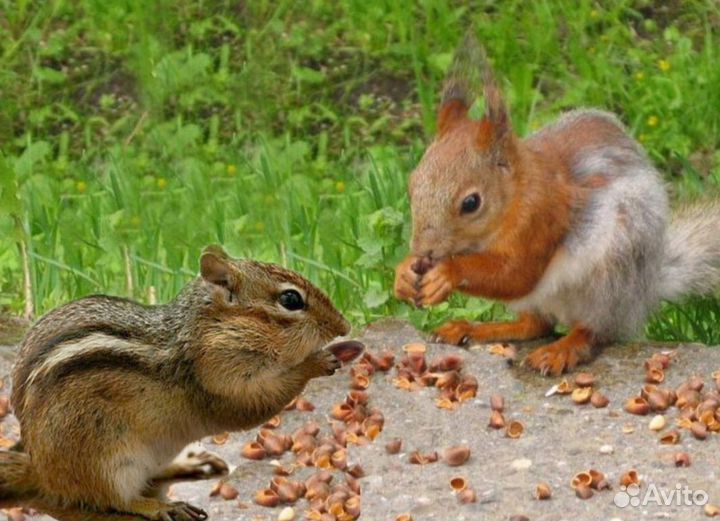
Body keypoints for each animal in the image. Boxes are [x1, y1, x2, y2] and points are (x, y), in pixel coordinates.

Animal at [394, 36, 720, 374]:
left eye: (471, 203)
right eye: (412, 184)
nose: (423, 251)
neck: (516, 194)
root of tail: (642, 293)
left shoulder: (542, 215)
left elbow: (516, 274)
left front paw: (447, 272)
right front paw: (404, 273)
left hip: (610, 279)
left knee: (595, 329)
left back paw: (563, 348)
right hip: (542, 301)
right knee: (535, 325)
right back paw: (471, 327)